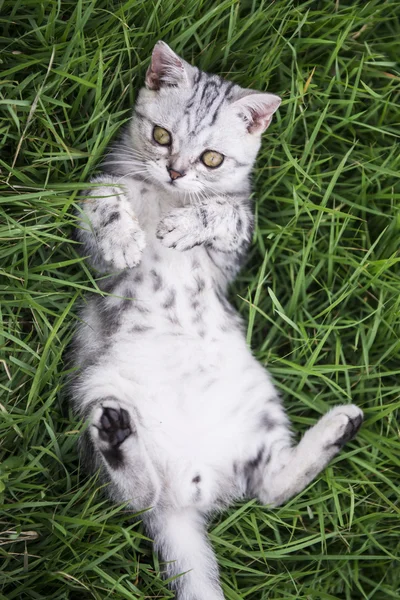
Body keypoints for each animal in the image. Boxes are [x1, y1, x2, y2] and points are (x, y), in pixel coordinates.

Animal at [70, 43, 364, 600]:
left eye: (211, 158)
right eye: (162, 136)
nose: (175, 171)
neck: (167, 196)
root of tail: (190, 487)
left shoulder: (237, 247)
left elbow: (227, 212)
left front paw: (189, 223)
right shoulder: (94, 224)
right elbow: (102, 198)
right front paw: (123, 239)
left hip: (259, 411)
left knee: (268, 488)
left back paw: (338, 428)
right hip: (98, 389)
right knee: (140, 496)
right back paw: (118, 439)